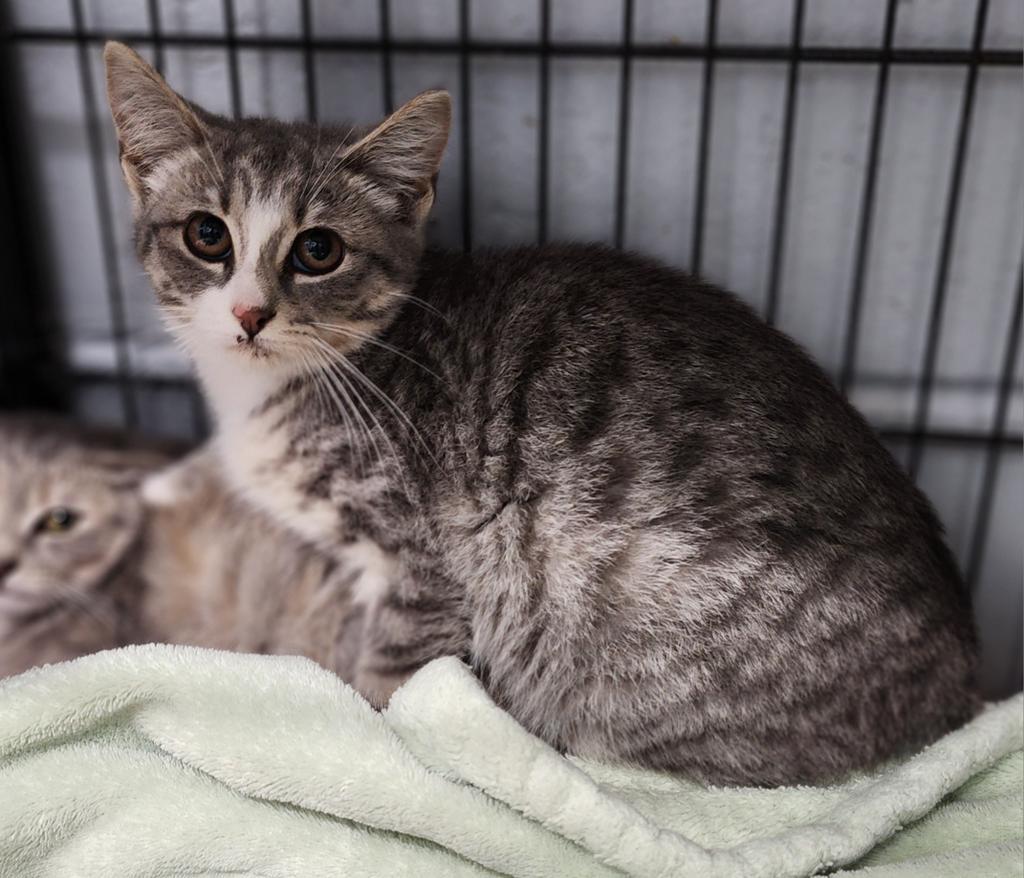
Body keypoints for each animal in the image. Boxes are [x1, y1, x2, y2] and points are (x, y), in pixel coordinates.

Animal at [108, 39, 978, 782]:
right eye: (206, 235)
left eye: (318, 250)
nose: (250, 313)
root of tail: (963, 673)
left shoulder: (422, 557)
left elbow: (395, 677)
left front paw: (383, 750)